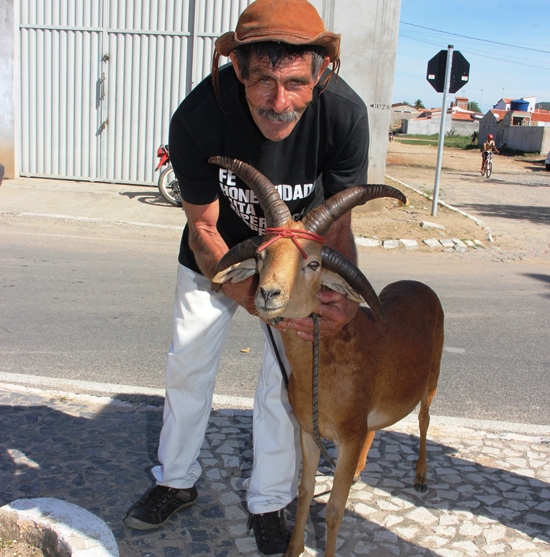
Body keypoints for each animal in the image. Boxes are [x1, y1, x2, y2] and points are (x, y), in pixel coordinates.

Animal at [209, 156, 446, 556]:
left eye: (313, 264)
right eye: (261, 254)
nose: (269, 294)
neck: (326, 365)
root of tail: (421, 286)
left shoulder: (348, 437)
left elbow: (335, 508)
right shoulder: (309, 431)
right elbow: (305, 491)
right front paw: (293, 547)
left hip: (432, 381)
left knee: (425, 420)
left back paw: (421, 475)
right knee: (377, 431)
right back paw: (363, 471)